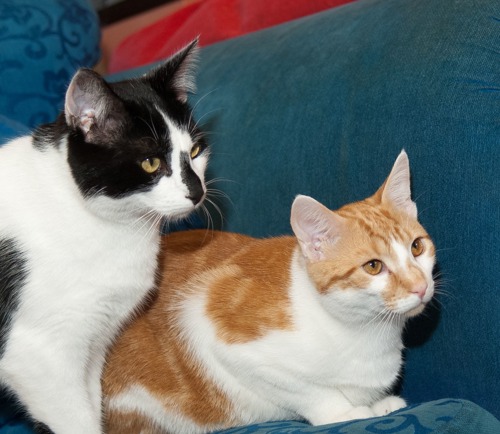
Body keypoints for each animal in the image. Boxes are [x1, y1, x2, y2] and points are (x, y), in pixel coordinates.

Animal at [0, 39, 207, 432]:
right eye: (150, 163)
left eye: (196, 150)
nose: (197, 191)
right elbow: (76, 420)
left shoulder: (94, 344)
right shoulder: (37, 356)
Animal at [104, 151, 434, 432]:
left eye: (417, 247)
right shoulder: (210, 319)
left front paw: (379, 404)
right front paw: (345, 412)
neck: (365, 331)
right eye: (374, 266)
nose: (420, 286)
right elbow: (308, 390)